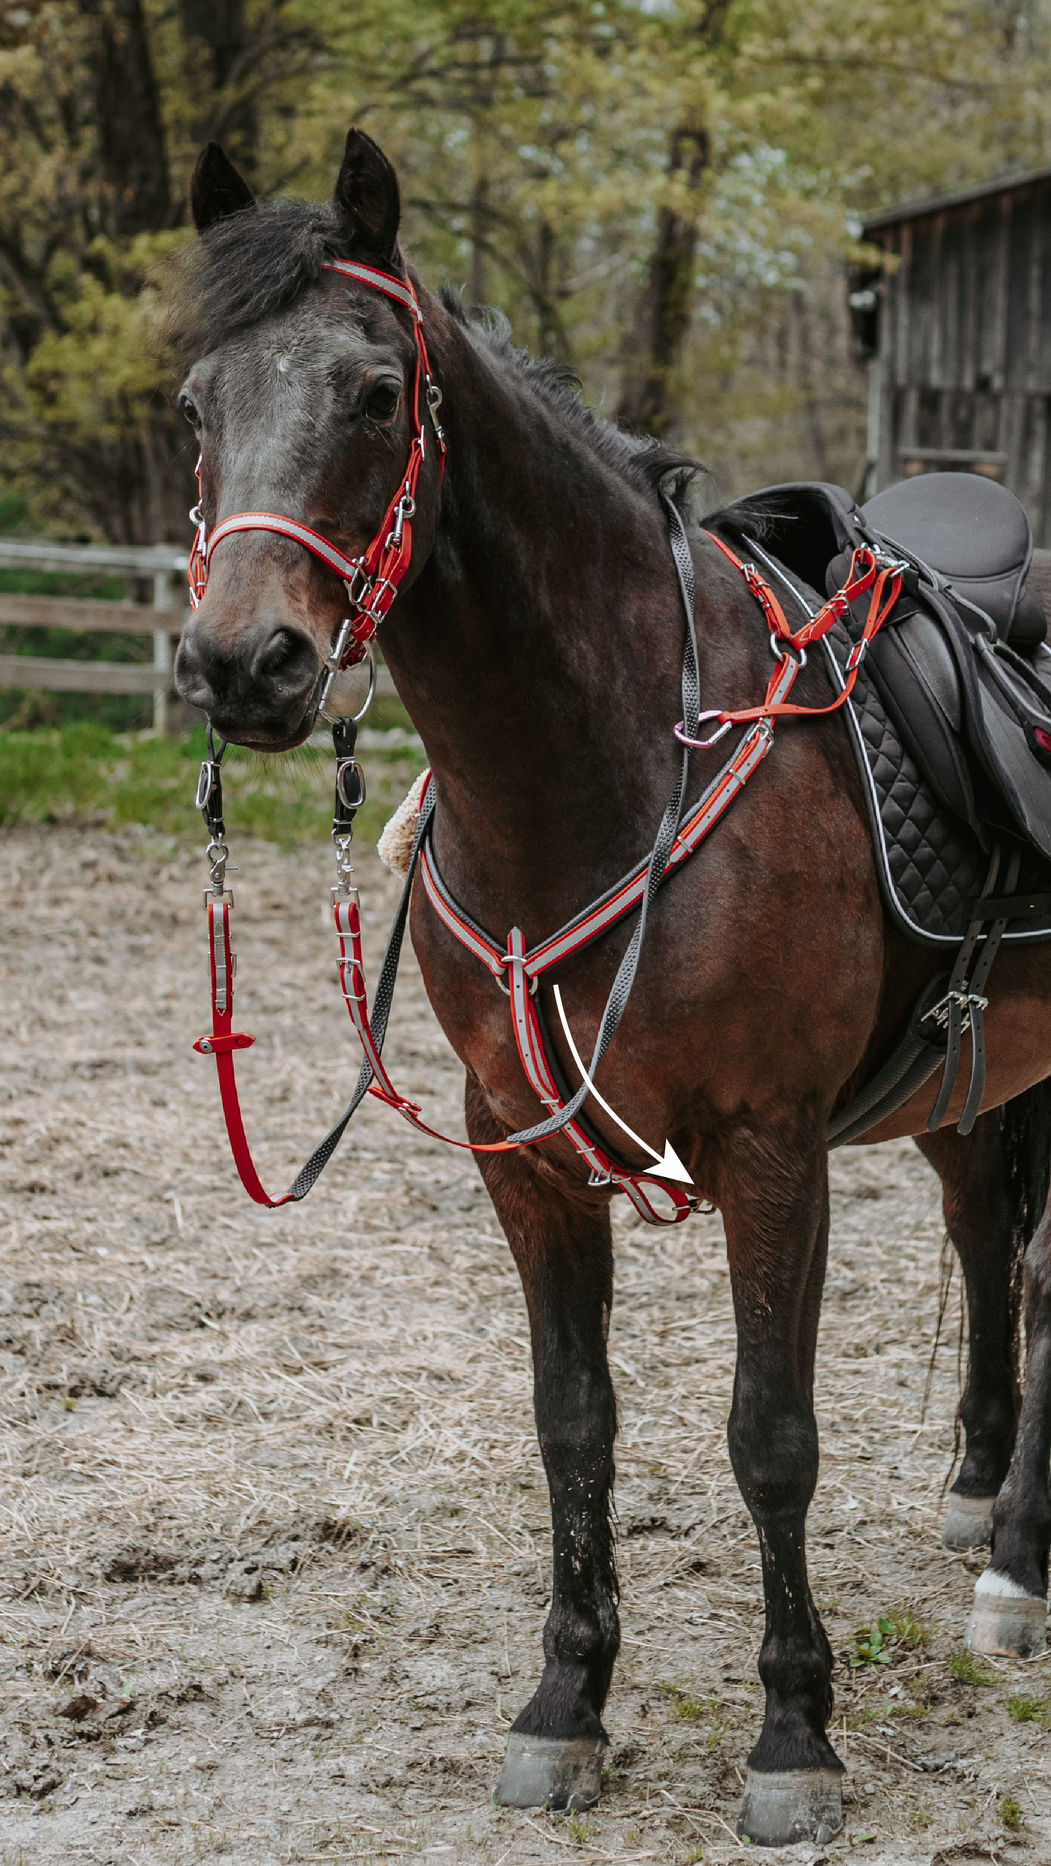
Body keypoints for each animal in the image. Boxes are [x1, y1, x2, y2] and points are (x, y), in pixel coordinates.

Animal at [170, 127, 1051, 1846]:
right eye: (193, 402)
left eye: (374, 390)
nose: (243, 665)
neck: (610, 756)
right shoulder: (519, 1150)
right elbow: (570, 1421)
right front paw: (563, 1703)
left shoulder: (768, 1148)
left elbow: (768, 1435)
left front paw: (791, 1735)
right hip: (971, 1077)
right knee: (992, 1240)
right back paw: (982, 1504)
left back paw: (1021, 1561)